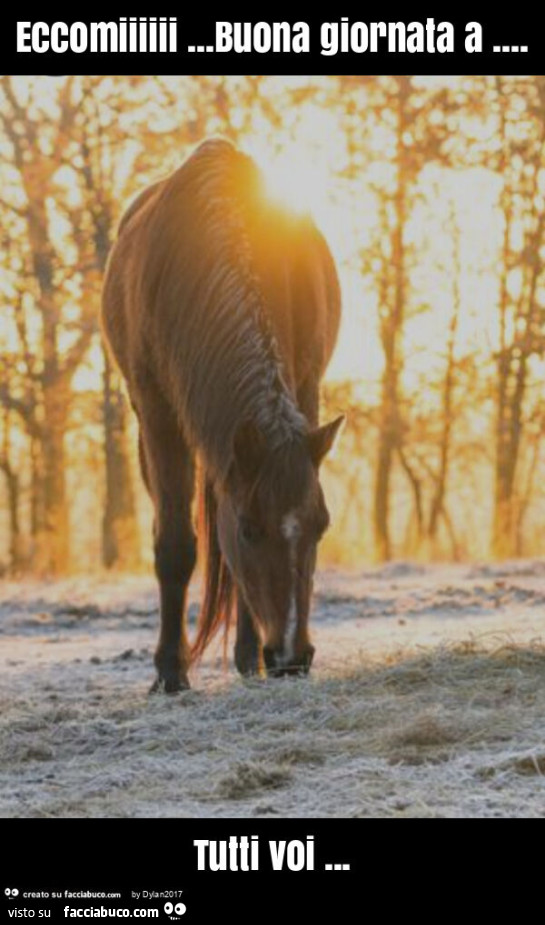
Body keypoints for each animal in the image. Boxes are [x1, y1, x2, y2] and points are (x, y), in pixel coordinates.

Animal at [100, 135, 342, 684]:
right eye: (250, 529)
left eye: (321, 525)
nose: (292, 658)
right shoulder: (158, 412)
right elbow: (175, 543)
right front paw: (170, 672)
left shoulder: (305, 383)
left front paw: (249, 657)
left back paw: (248, 656)